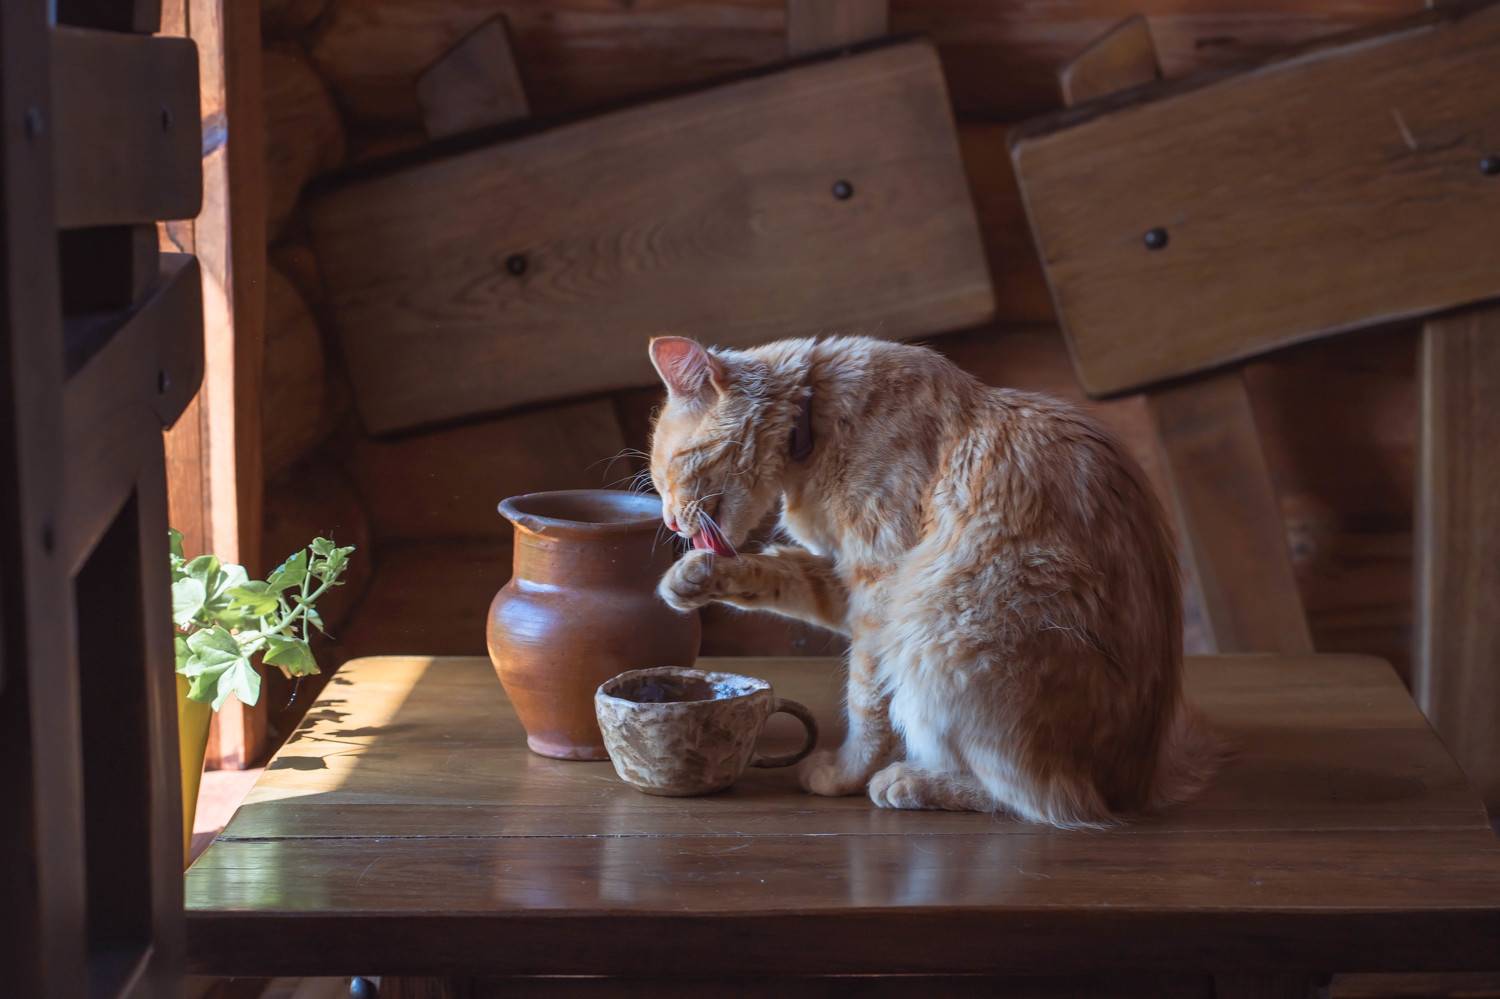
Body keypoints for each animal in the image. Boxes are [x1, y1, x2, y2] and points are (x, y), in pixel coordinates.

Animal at [646, 334, 1222, 827]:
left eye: (672, 470)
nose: (671, 522)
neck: (818, 414)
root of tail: (1135, 787)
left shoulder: (881, 588)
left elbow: (866, 705)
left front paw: (846, 773)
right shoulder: (847, 583)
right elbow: (779, 572)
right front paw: (691, 580)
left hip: (938, 631)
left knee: (1044, 801)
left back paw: (913, 781)